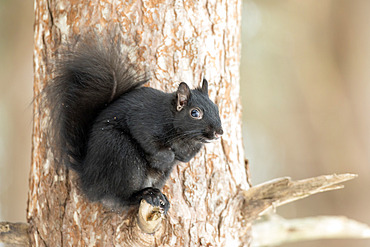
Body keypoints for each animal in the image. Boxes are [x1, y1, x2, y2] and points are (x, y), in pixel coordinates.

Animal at [43, 33, 223, 214]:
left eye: (216, 107)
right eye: (195, 113)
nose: (219, 132)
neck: (183, 136)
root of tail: (88, 176)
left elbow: (185, 157)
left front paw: (179, 156)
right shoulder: (144, 121)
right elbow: (152, 145)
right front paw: (166, 156)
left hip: (158, 174)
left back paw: (161, 198)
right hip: (123, 155)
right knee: (121, 195)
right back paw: (144, 194)